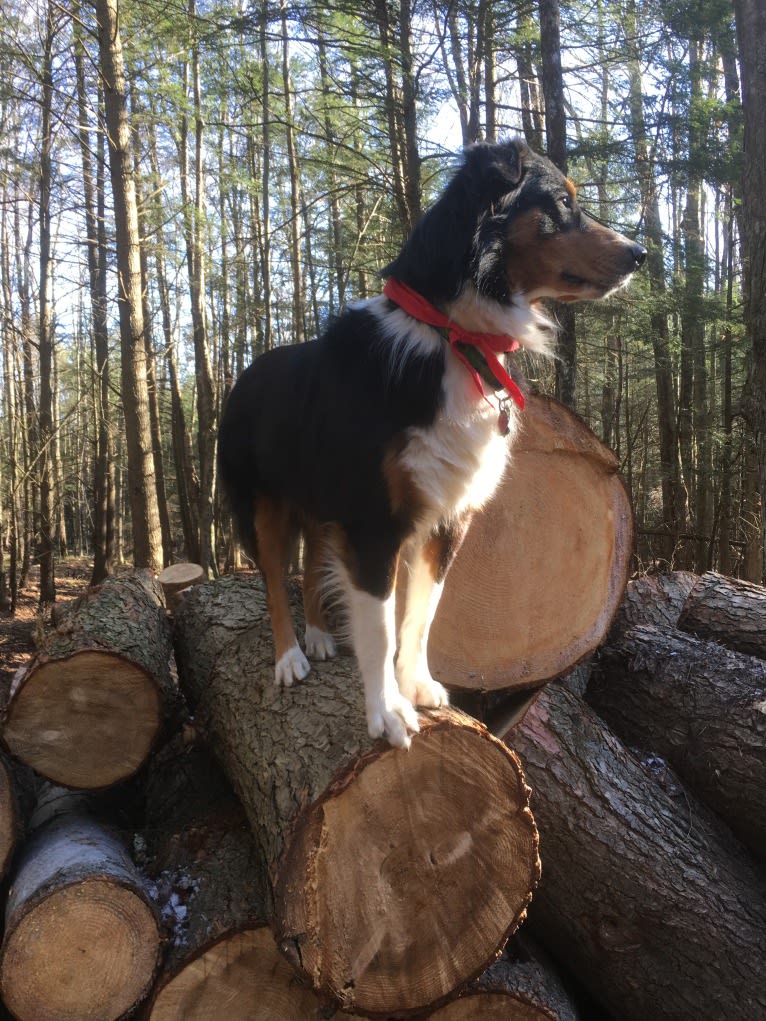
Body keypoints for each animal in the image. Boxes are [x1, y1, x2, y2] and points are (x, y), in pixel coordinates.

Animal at [218, 137, 645, 751]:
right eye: (562, 202)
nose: (640, 254)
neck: (454, 336)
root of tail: (246, 371)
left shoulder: (448, 518)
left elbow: (420, 616)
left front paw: (416, 686)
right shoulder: (373, 522)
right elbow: (379, 626)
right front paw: (387, 712)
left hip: (320, 505)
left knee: (313, 561)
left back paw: (319, 635)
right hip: (262, 505)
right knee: (274, 579)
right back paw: (290, 656)